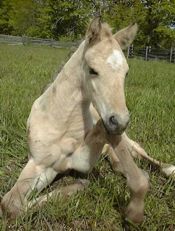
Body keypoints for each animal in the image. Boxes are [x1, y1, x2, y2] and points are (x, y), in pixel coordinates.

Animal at [0, 18, 174, 224]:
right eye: (93, 70)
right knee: (117, 161)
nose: (120, 122)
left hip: (128, 141)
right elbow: (10, 204)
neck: (61, 123)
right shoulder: (40, 164)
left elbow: (136, 177)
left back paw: (167, 170)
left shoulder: (84, 159)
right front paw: (78, 186)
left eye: (126, 73)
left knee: (140, 153)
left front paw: (134, 212)